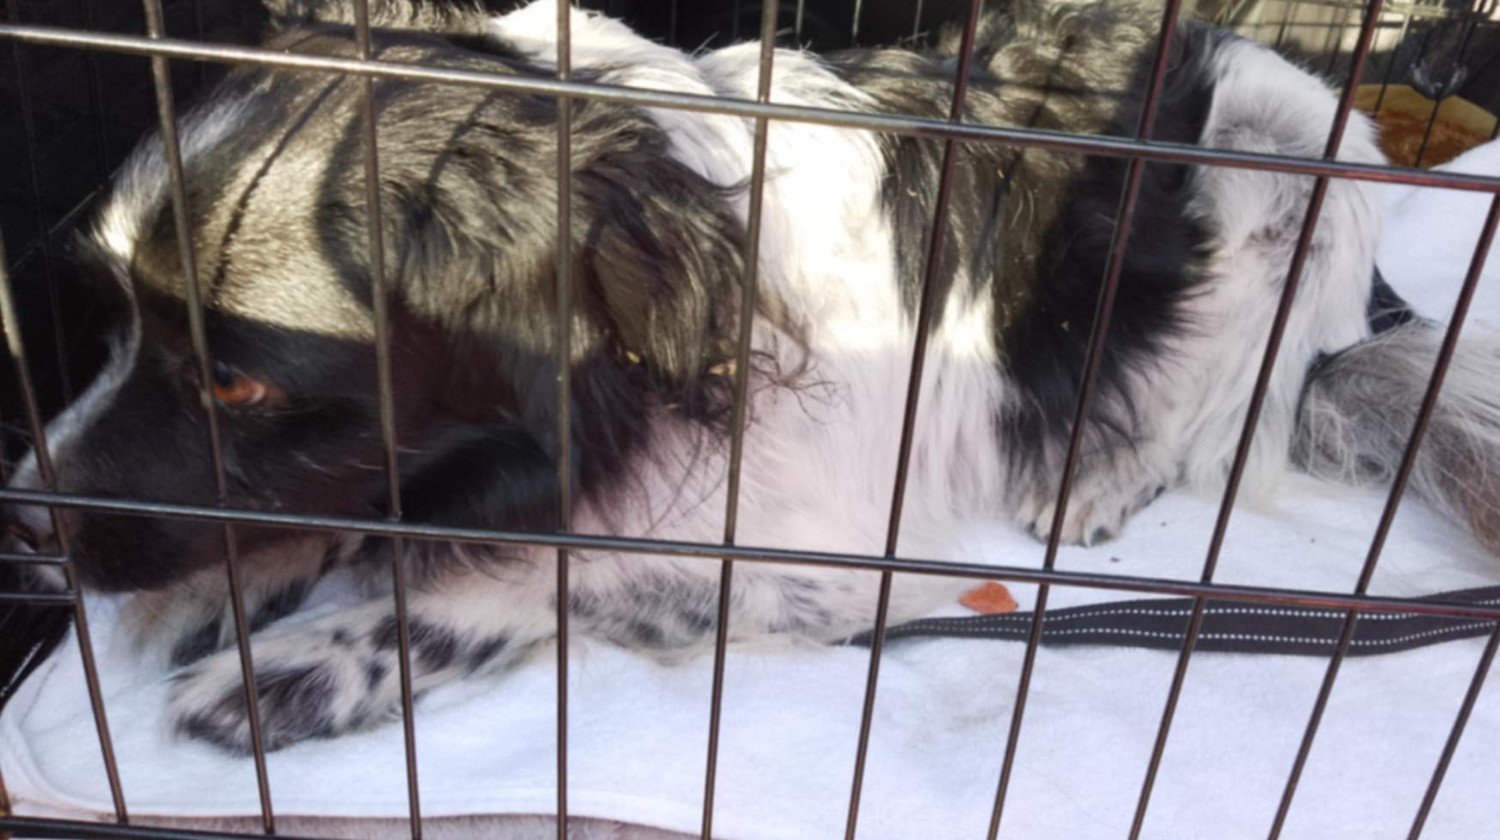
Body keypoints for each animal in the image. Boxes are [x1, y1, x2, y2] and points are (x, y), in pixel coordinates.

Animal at [6, 0, 1499, 753]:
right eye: (116, 327)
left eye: (239, 384)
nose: (23, 519)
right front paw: (237, 580)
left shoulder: (819, 561)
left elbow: (544, 577)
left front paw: (314, 658)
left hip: (1273, 156)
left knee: (1225, 420)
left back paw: (1097, 473)